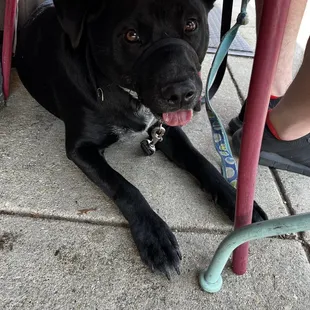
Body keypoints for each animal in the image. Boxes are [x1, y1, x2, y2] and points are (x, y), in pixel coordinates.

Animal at [15, 0, 266, 278]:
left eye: (191, 24)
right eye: (131, 35)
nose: (182, 93)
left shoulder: (164, 128)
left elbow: (198, 159)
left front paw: (235, 200)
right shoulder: (81, 148)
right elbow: (125, 186)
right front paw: (155, 236)